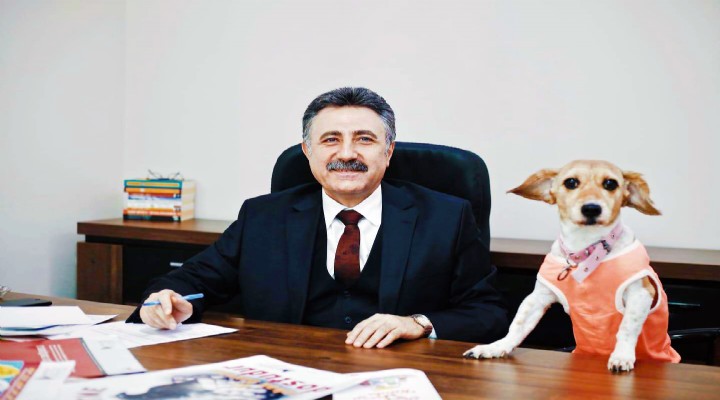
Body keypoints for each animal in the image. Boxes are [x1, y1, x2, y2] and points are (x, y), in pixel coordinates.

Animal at [464, 160, 680, 372]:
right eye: (571, 182)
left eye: (610, 184)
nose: (591, 208)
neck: (587, 251)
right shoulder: (538, 297)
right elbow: (518, 325)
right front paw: (496, 347)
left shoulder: (640, 294)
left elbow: (627, 328)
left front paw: (622, 356)